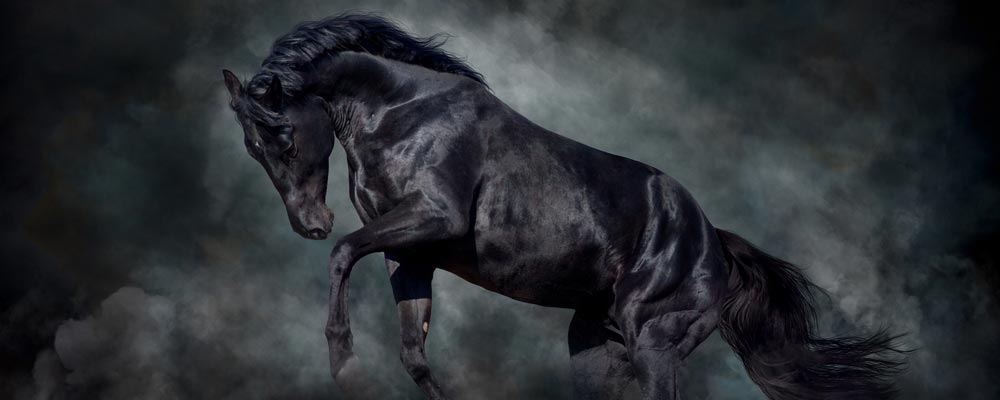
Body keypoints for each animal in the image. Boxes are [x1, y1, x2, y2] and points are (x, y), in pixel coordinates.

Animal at [222, 14, 903, 400]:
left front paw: (343, 361)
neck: (403, 113)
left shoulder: (433, 217)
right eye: (252, 148)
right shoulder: (412, 254)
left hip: (654, 342)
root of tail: (712, 241)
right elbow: (415, 353)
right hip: (597, 349)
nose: (310, 224)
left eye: (284, 137)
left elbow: (344, 255)